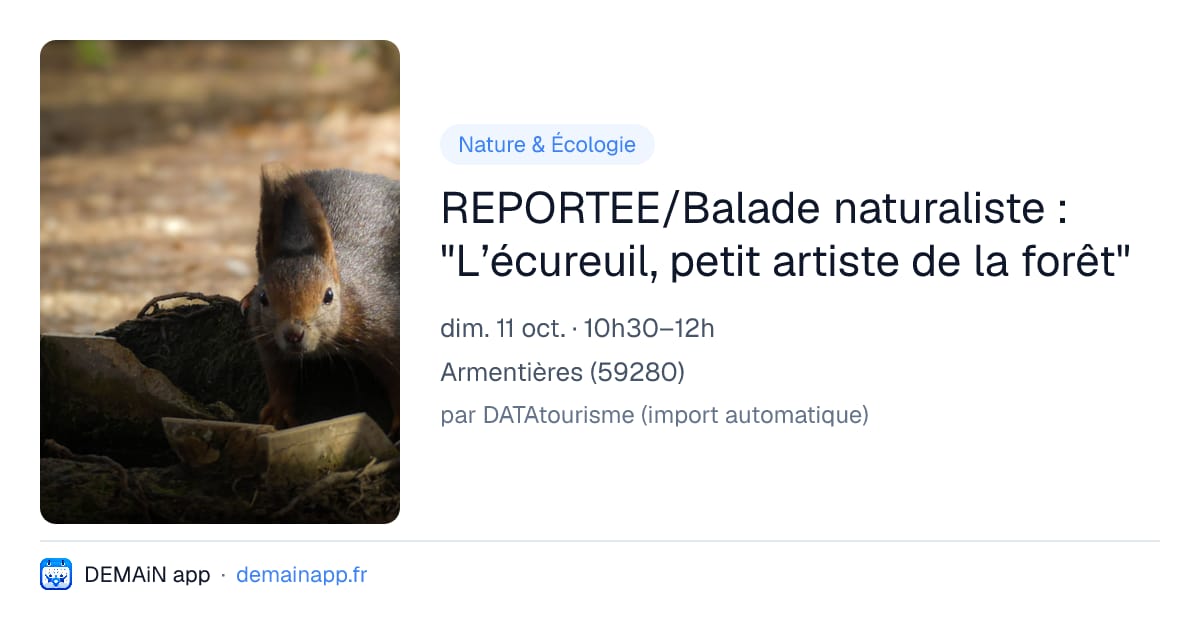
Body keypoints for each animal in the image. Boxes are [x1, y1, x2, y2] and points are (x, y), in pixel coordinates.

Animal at [245, 163, 399, 439]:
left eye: (328, 295)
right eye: (264, 298)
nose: (294, 334)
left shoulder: (384, 322)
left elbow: (397, 376)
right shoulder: (263, 330)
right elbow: (276, 371)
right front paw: (279, 408)